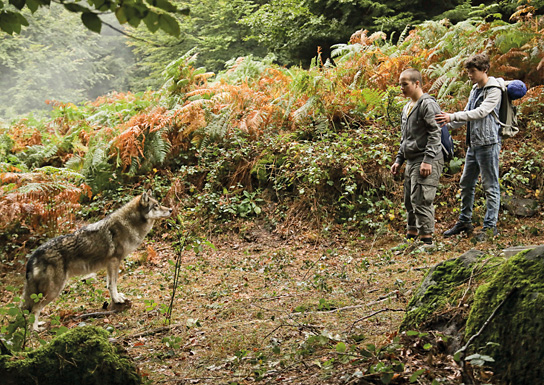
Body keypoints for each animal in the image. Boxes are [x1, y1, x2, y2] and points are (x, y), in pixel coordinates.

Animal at [21, 190, 172, 328]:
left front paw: (116, 298)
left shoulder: (110, 264)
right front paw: (117, 299)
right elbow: (113, 284)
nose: (171, 209)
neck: (129, 223)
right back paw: (35, 330)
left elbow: (109, 284)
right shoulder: (114, 261)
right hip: (53, 289)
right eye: (156, 205)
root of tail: (32, 256)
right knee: (34, 309)